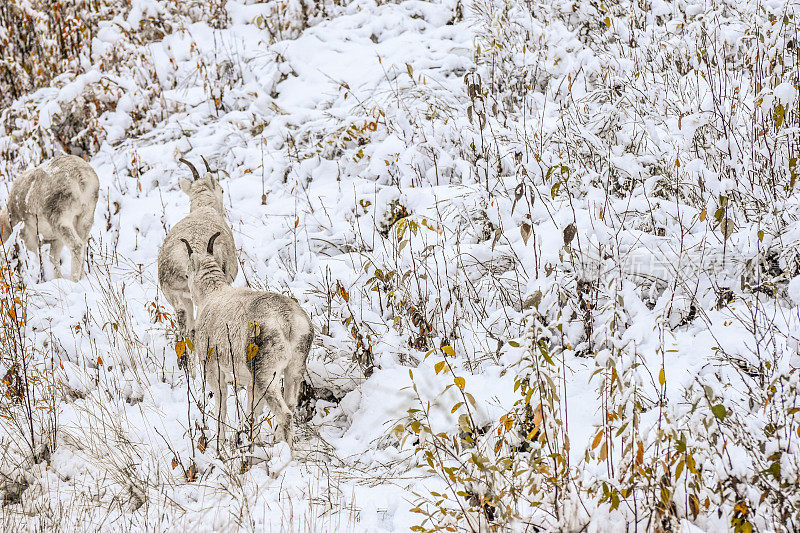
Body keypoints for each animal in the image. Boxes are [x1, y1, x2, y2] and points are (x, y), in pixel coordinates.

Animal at [183, 232, 314, 444]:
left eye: (187, 274)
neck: (212, 295)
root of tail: (288, 322)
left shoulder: (213, 369)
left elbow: (221, 407)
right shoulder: (252, 384)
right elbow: (252, 413)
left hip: (267, 377)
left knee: (285, 414)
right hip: (294, 370)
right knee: (291, 405)